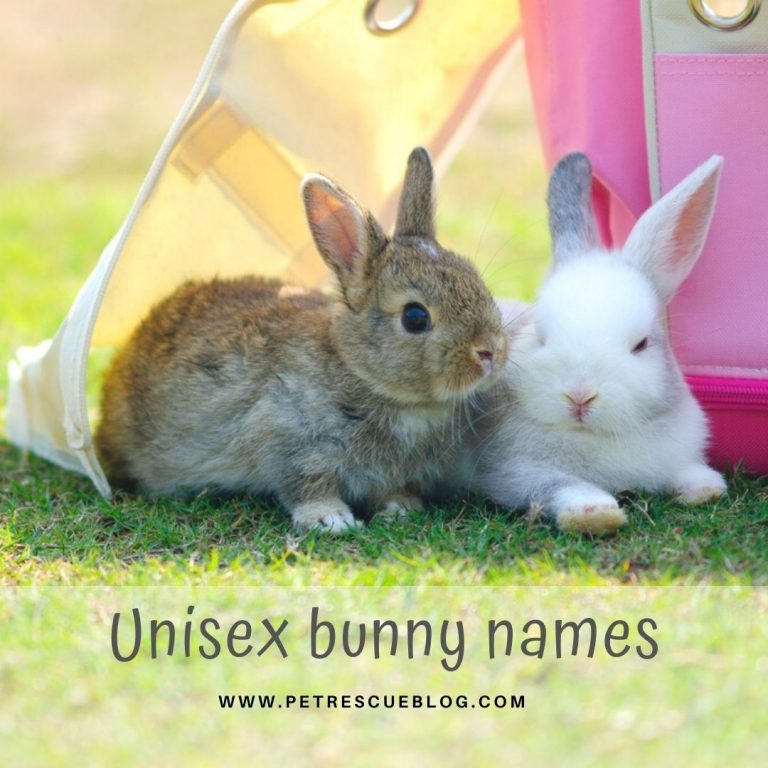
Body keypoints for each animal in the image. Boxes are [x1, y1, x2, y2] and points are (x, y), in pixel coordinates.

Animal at [95, 147, 508, 533]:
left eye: (478, 282)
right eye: (415, 317)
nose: (490, 352)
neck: (364, 375)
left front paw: (400, 509)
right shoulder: (289, 439)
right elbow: (308, 484)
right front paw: (331, 520)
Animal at [467, 152, 727, 534]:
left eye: (641, 344)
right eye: (540, 335)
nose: (579, 396)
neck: (597, 435)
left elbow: (687, 471)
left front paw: (706, 487)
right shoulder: (513, 472)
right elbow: (560, 486)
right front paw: (595, 512)